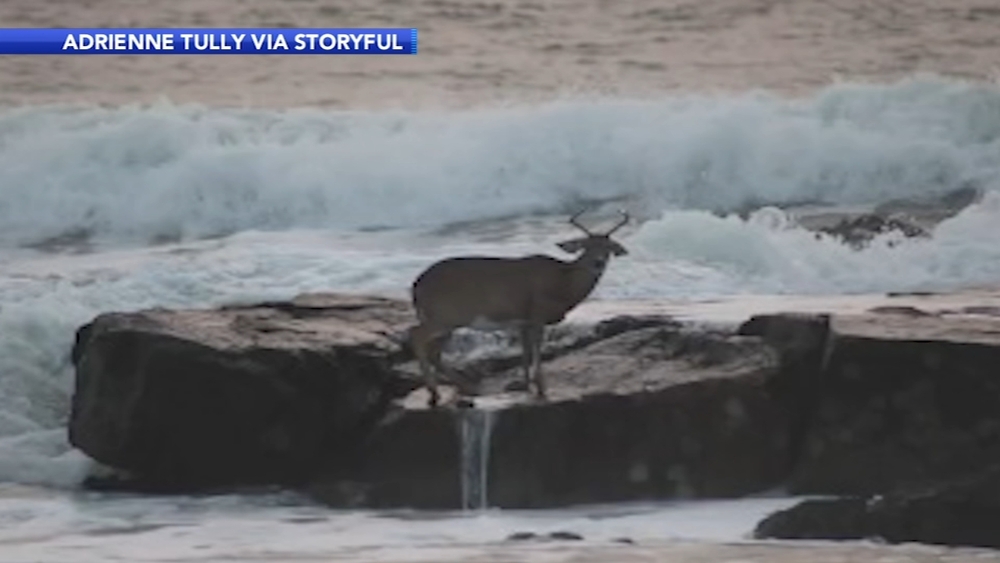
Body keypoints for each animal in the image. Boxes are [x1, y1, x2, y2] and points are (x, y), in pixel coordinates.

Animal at [408, 209, 630, 408]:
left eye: (609, 247)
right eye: (586, 246)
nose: (597, 262)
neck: (562, 283)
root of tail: (417, 285)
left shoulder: (523, 321)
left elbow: (525, 352)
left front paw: (525, 385)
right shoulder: (537, 313)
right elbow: (537, 348)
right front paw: (541, 387)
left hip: (445, 320)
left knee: (433, 351)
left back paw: (461, 387)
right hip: (445, 315)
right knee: (416, 334)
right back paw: (435, 393)